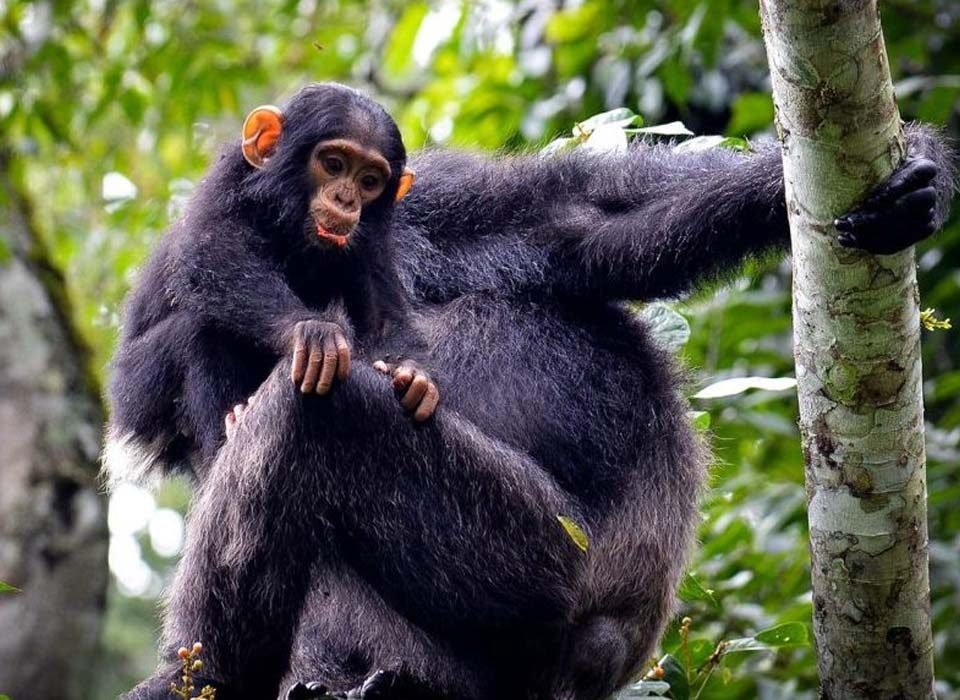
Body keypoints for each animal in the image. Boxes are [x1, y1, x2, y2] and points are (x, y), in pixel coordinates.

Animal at [112, 83, 956, 700]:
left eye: (367, 177)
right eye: (330, 165)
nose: (346, 203)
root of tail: (595, 660)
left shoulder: (430, 204)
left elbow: (581, 218)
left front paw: (913, 170)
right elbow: (178, 320)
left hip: (528, 569)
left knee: (317, 414)